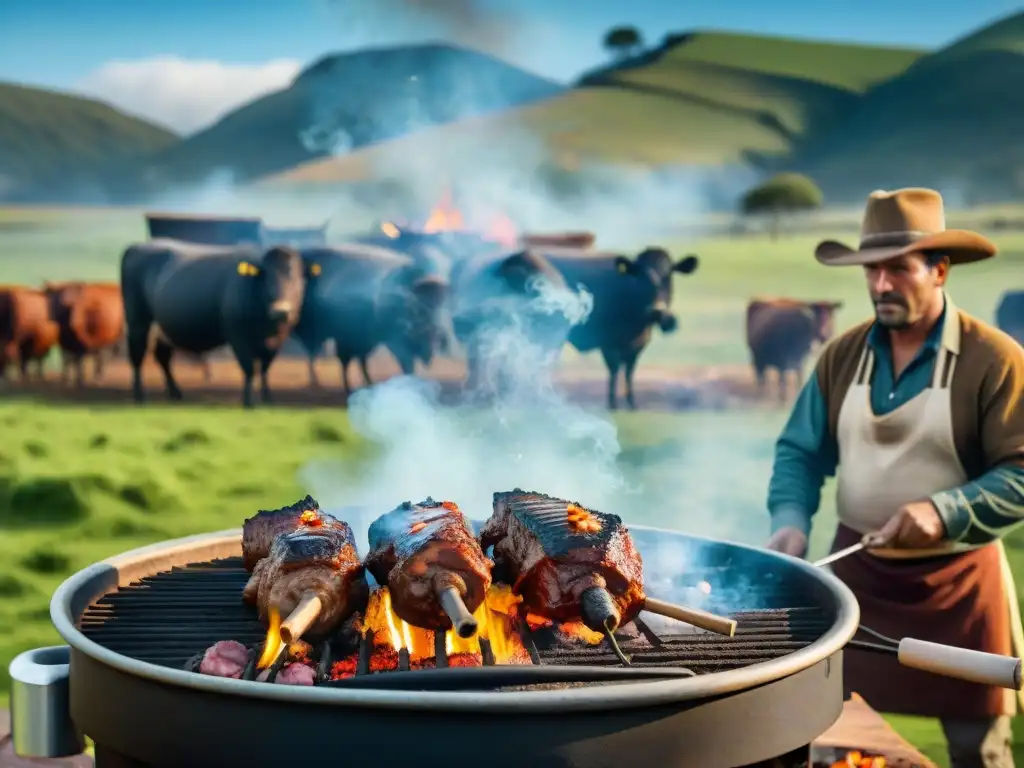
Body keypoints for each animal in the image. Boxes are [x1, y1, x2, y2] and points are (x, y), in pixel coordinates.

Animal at [119, 240, 313, 409]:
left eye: (297, 279)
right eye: (267, 278)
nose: (281, 311)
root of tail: (137, 247)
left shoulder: (277, 340)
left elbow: (265, 368)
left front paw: (268, 399)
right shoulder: (238, 337)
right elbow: (250, 368)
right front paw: (249, 401)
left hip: (163, 328)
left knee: (162, 357)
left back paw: (175, 393)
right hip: (137, 323)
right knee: (137, 355)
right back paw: (140, 396)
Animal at [290, 246, 446, 393]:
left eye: (439, 307)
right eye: (417, 309)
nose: (431, 350)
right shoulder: (391, 342)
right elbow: (406, 364)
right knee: (325, 356)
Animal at [540, 249, 700, 411]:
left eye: (669, 274)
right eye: (639, 275)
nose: (657, 311)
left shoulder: (638, 346)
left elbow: (629, 372)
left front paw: (632, 403)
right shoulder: (608, 344)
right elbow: (615, 370)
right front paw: (613, 404)